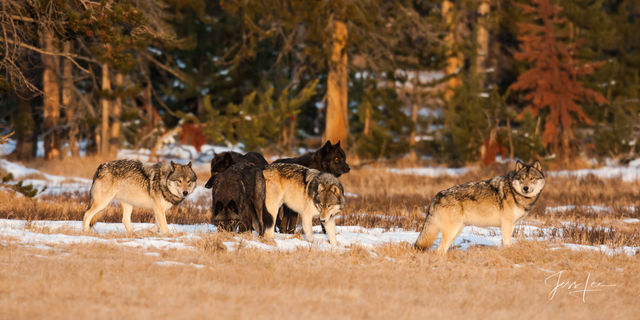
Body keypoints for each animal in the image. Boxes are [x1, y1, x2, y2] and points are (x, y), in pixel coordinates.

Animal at [416, 161, 544, 254]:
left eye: (532, 178)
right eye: (522, 178)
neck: (514, 193)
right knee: (439, 250)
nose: (526, 188)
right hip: (452, 231)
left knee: (443, 250)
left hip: (456, 231)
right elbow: (507, 243)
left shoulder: (512, 225)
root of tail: (438, 195)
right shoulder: (506, 224)